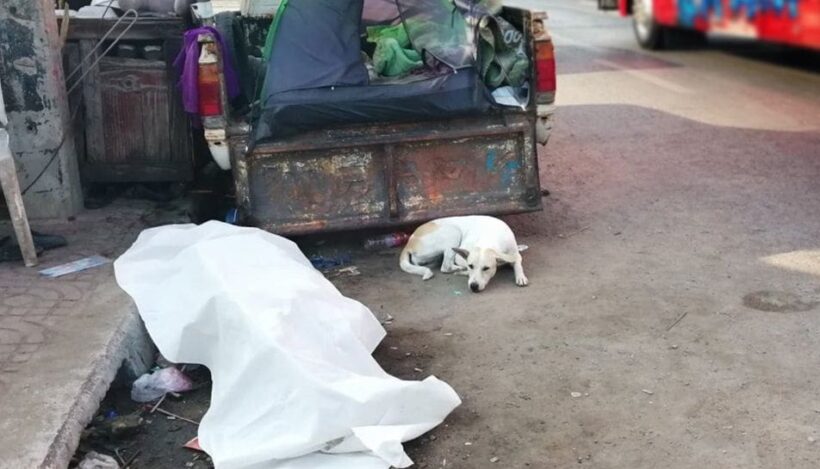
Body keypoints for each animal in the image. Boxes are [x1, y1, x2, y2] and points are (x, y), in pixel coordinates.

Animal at [398, 215, 528, 288]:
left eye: (486, 268)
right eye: (471, 266)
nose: (473, 286)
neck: (490, 237)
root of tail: (409, 242)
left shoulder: (514, 254)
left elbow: (518, 263)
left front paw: (520, 276)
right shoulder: (460, 256)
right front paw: (465, 272)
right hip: (453, 231)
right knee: (445, 267)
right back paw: (458, 269)